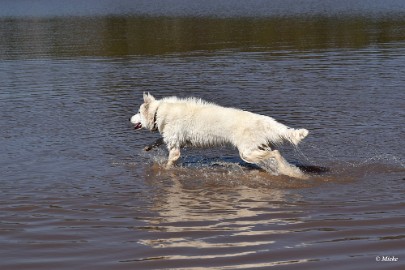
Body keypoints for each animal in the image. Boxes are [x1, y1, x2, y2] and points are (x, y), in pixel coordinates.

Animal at [131, 93, 308, 179]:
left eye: (138, 112)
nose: (128, 119)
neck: (158, 111)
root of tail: (263, 120)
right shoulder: (174, 140)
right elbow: (159, 140)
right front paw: (148, 147)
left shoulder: (175, 149)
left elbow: (169, 162)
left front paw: (164, 170)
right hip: (257, 149)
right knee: (275, 155)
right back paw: (290, 171)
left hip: (247, 153)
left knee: (276, 154)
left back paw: (288, 171)